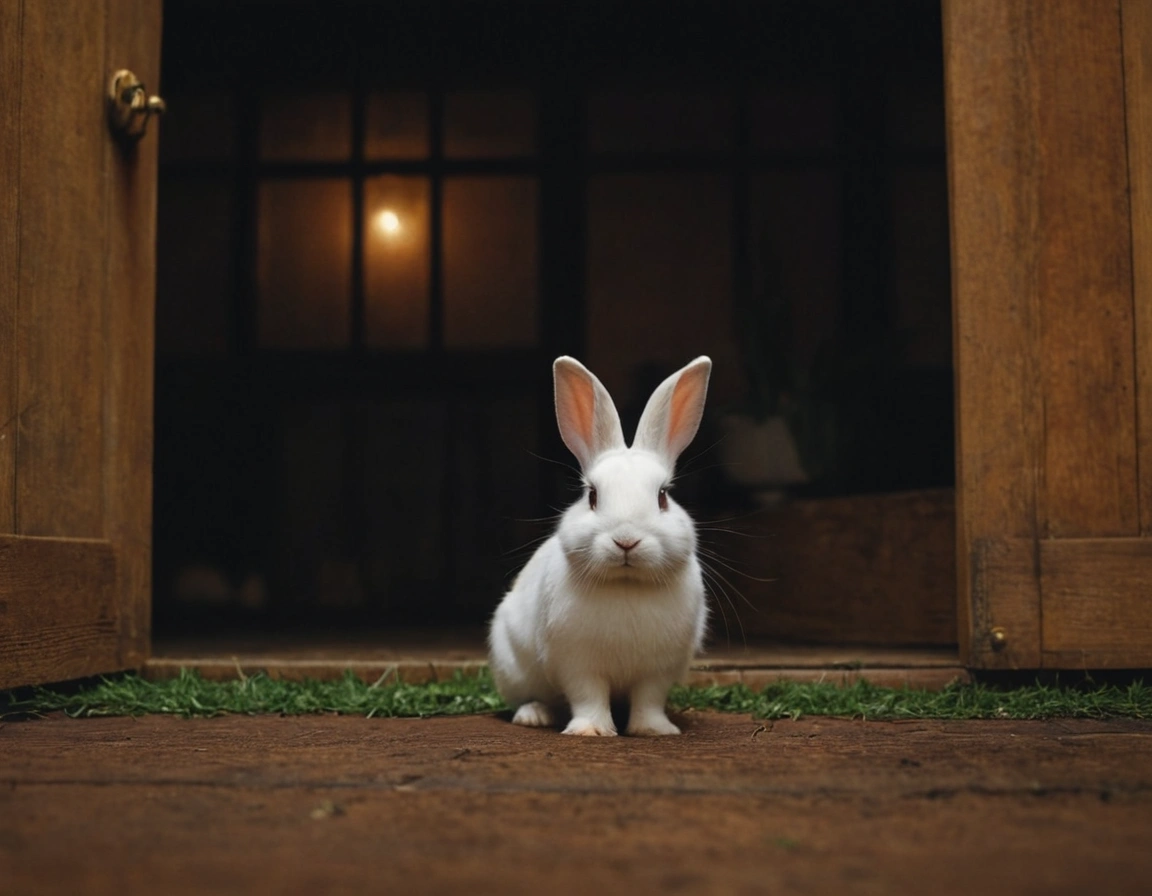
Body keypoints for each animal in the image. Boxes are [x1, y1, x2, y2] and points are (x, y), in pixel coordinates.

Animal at [488, 354, 709, 732]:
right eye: (592, 496)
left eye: (663, 496)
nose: (626, 540)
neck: (626, 584)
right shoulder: (577, 664)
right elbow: (587, 696)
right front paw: (590, 730)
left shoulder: (658, 671)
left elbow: (649, 701)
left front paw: (654, 730)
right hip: (513, 666)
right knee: (533, 697)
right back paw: (534, 716)